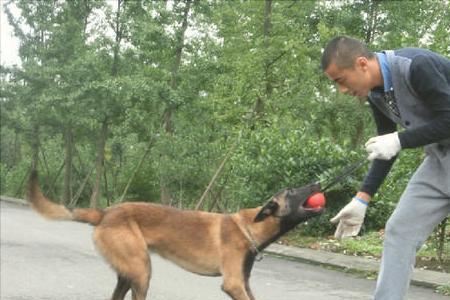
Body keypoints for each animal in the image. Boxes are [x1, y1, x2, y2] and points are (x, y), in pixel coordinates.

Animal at [26, 171, 322, 300]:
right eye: (292, 191)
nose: (319, 182)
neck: (251, 226)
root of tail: (105, 212)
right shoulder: (234, 284)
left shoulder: (244, 283)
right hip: (141, 271)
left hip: (129, 273)